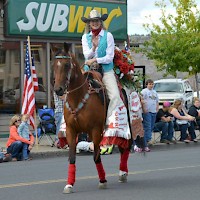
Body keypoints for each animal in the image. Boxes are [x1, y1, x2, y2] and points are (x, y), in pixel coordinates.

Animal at [52, 42, 132, 194]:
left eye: (66, 65)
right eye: (54, 65)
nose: (58, 89)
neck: (78, 97)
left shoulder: (96, 130)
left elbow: (96, 156)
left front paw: (102, 180)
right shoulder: (71, 131)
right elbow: (72, 158)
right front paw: (69, 184)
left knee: (125, 147)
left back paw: (123, 172)